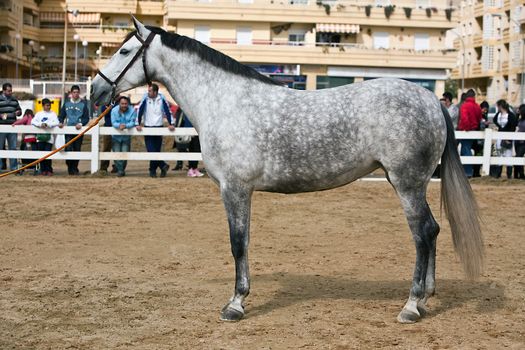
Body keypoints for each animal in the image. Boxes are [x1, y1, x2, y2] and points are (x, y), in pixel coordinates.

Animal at [91, 17, 484, 322]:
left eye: (124, 52)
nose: (94, 90)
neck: (224, 101)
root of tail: (430, 99)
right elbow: (243, 241)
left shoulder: (235, 188)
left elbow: (238, 243)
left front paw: (235, 304)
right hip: (409, 182)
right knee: (432, 231)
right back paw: (426, 297)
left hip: (407, 183)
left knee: (422, 233)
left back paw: (411, 305)